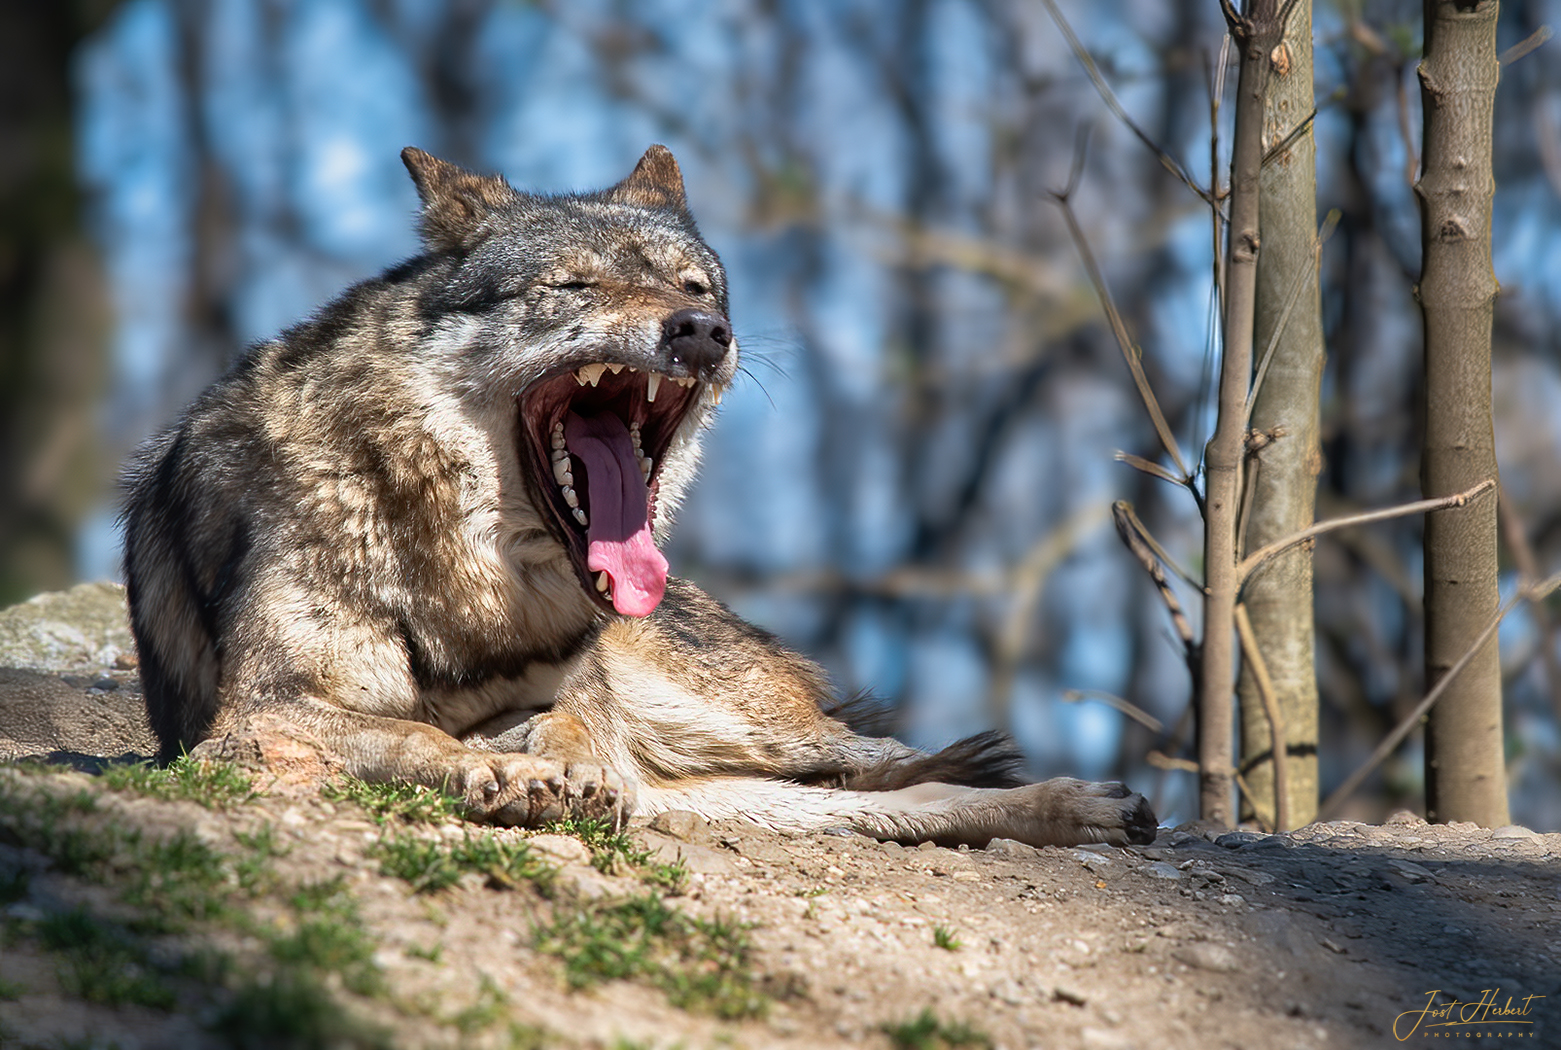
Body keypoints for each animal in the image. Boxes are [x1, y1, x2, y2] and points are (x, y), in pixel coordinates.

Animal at [121, 143, 1155, 848]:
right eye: (574, 285)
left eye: (696, 285)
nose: (702, 329)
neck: (471, 577)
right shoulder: (254, 720)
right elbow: (412, 737)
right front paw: (498, 767)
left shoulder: (574, 699)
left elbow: (566, 721)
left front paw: (557, 759)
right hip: (724, 785)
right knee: (889, 806)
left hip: (750, 735)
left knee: (891, 771)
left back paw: (1084, 804)